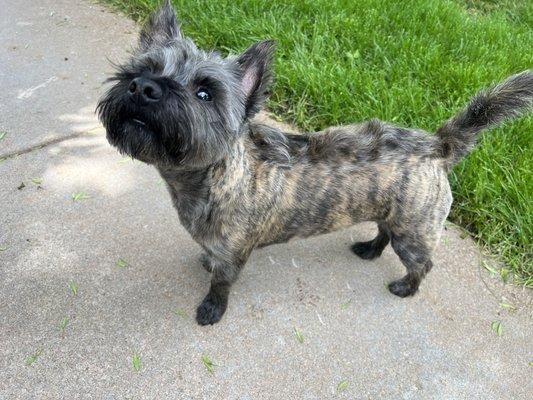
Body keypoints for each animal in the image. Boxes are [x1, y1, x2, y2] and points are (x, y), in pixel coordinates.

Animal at [96, 0, 532, 324]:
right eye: (142, 69)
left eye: (205, 92)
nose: (143, 87)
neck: (221, 175)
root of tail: (438, 145)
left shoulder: (234, 256)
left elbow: (221, 285)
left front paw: (211, 309)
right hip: (393, 213)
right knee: (384, 231)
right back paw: (370, 250)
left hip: (414, 231)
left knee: (421, 264)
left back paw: (406, 288)